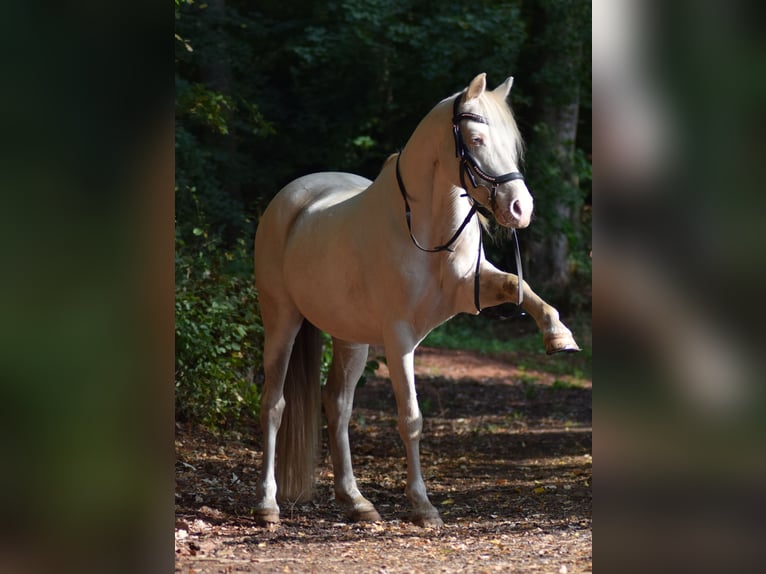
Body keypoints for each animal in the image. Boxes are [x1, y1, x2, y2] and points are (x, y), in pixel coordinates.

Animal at [252, 73, 579, 528]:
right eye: (476, 139)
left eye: (512, 143)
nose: (521, 208)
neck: (425, 229)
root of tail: (288, 200)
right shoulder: (399, 337)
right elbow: (411, 418)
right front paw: (423, 506)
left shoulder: (473, 287)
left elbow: (522, 287)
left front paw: (559, 336)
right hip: (281, 321)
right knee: (274, 404)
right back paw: (267, 504)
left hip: (350, 338)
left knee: (337, 406)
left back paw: (356, 501)